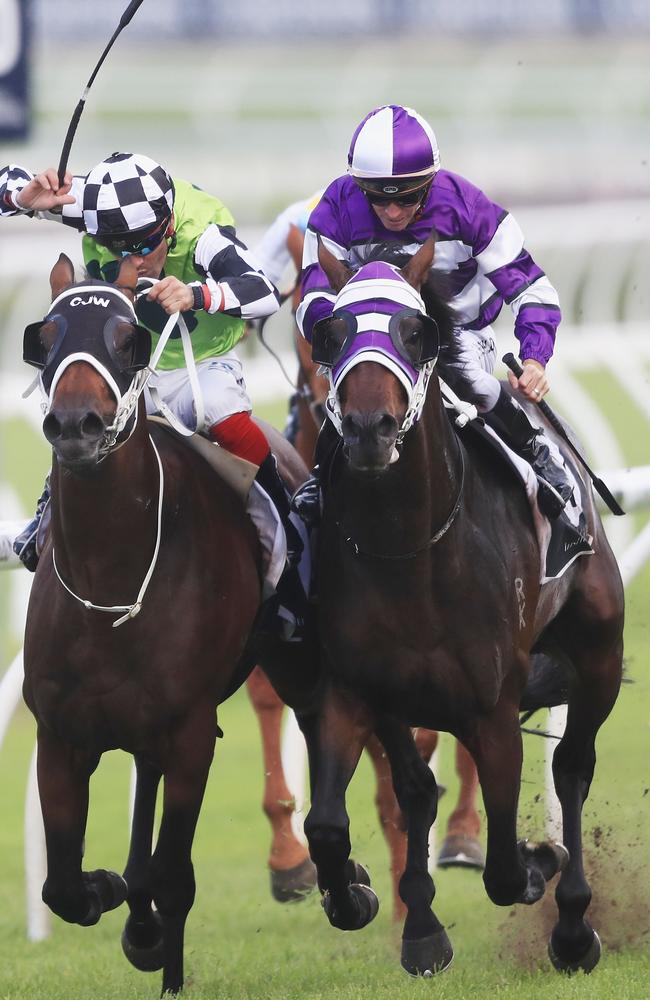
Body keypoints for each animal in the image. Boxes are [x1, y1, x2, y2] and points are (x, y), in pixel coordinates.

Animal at [19, 256, 314, 992]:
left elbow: (174, 875)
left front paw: (161, 952)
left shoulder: (189, 735)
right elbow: (64, 887)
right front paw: (115, 897)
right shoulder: (60, 734)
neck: (113, 578)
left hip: (298, 659)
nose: (77, 424)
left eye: (129, 337)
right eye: (46, 335)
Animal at [302, 236, 620, 976]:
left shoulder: (493, 708)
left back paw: (572, 925)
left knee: (572, 766)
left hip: (599, 653)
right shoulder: (354, 690)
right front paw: (364, 902)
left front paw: (538, 862)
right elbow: (329, 823)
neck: (410, 554)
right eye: (330, 332)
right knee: (419, 789)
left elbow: (504, 867)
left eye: (416, 332)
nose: (369, 428)